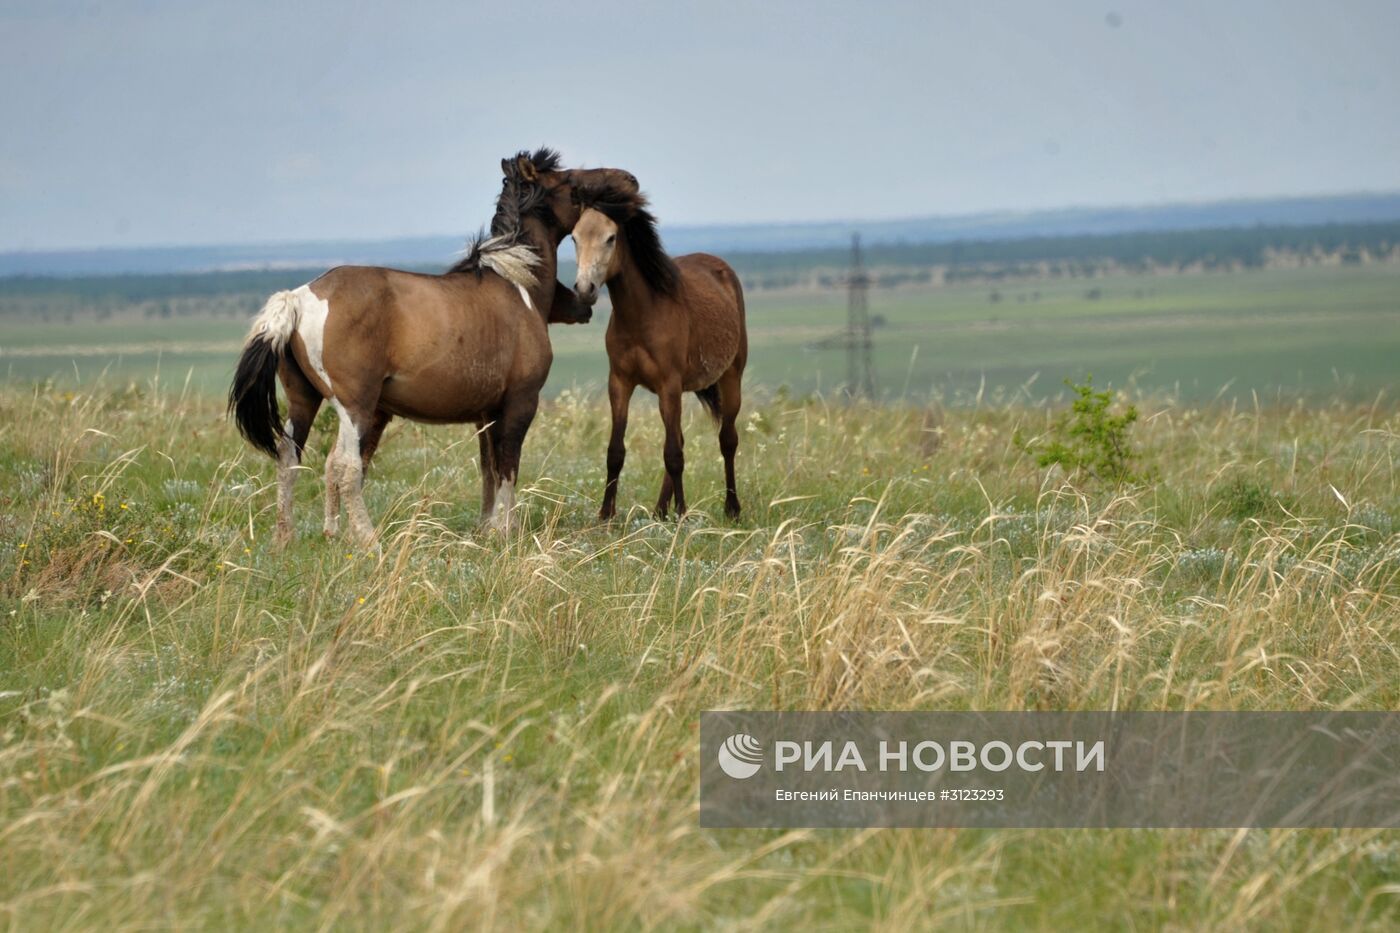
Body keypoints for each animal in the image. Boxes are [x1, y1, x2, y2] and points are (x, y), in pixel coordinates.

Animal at [228, 149, 641, 546]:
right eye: (569, 180)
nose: (630, 179)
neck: (516, 285)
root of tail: (298, 298)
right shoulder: (520, 403)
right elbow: (508, 466)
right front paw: (505, 531)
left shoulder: (486, 412)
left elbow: (489, 469)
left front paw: (487, 529)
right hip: (355, 405)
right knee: (344, 467)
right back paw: (368, 541)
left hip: (304, 400)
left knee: (289, 459)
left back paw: (288, 539)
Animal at [571, 177, 750, 518]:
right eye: (574, 237)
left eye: (611, 237)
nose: (584, 289)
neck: (642, 315)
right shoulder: (621, 383)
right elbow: (616, 451)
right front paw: (606, 514)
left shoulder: (669, 384)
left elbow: (674, 454)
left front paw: (683, 512)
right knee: (680, 438)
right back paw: (659, 510)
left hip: (730, 377)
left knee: (728, 440)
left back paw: (731, 507)